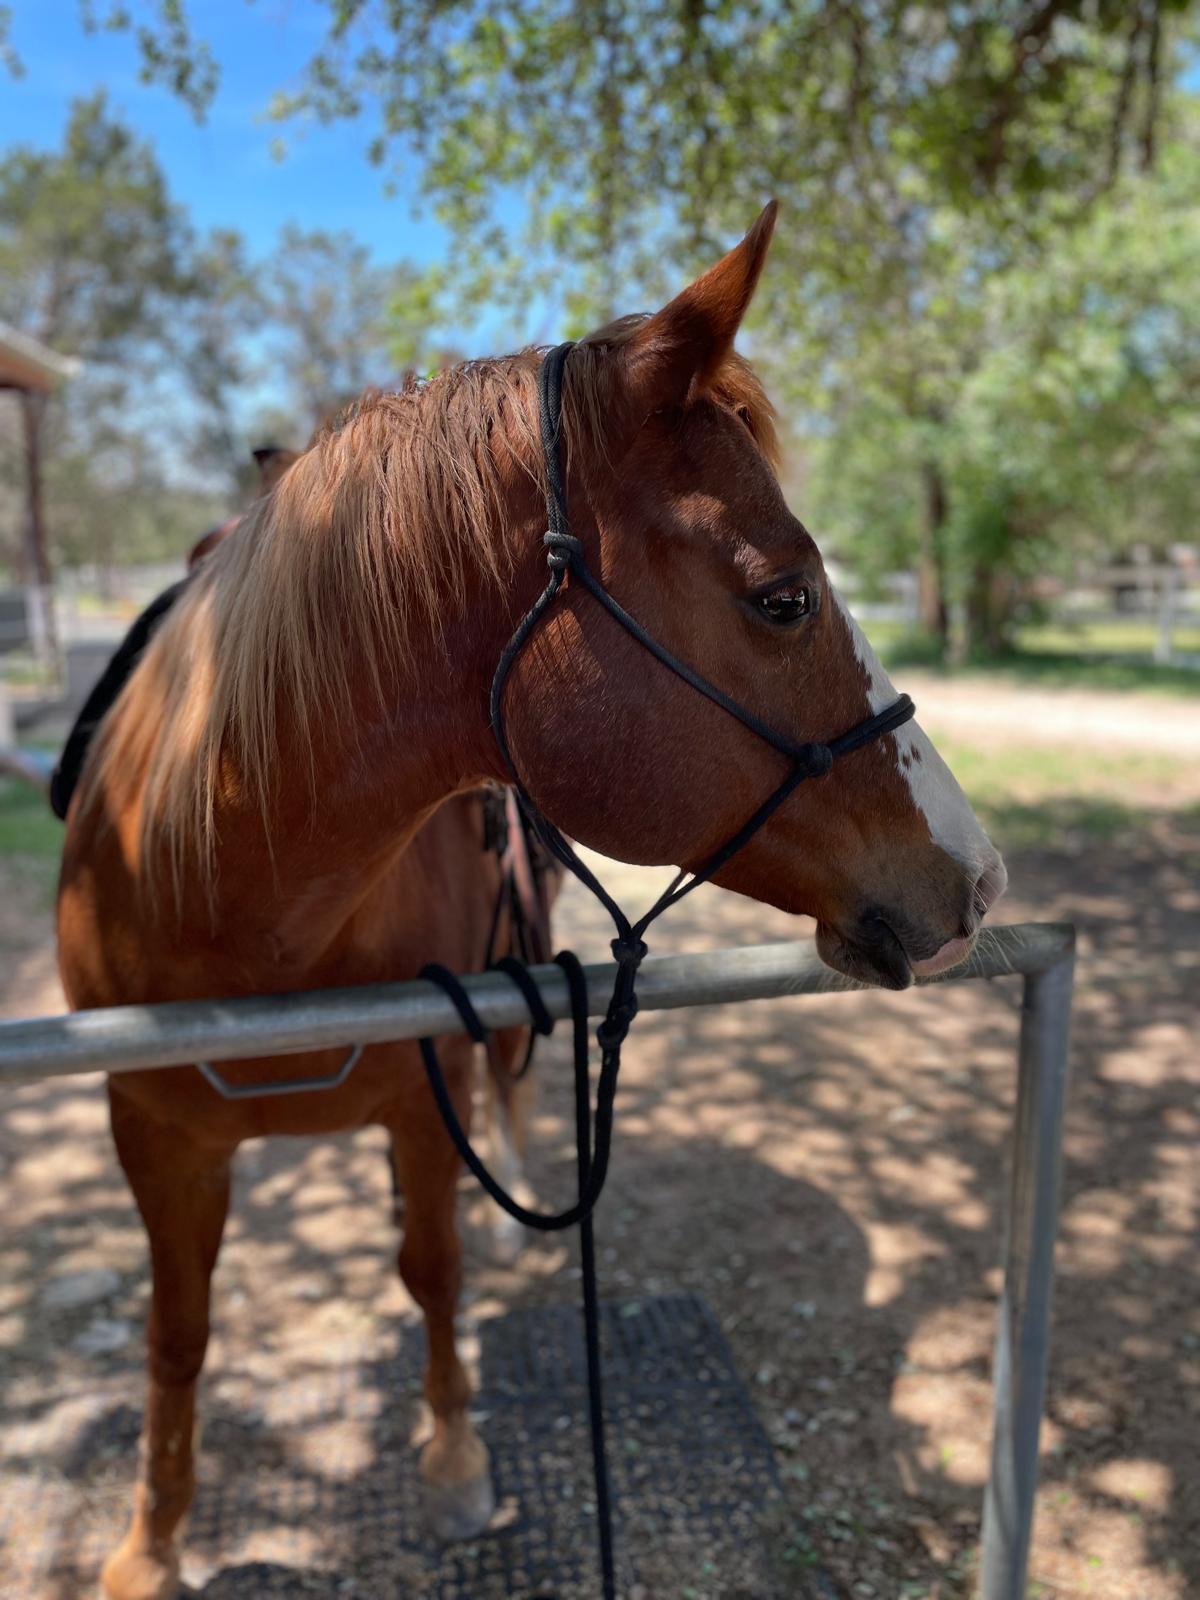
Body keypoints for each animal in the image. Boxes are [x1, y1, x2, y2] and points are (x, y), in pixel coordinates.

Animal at [58, 201, 1006, 1600]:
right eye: (784, 597)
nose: (980, 875)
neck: (226, 898)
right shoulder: (151, 1133)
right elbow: (178, 1338)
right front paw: (150, 1541)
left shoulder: (425, 1079)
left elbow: (433, 1270)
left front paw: (453, 1460)